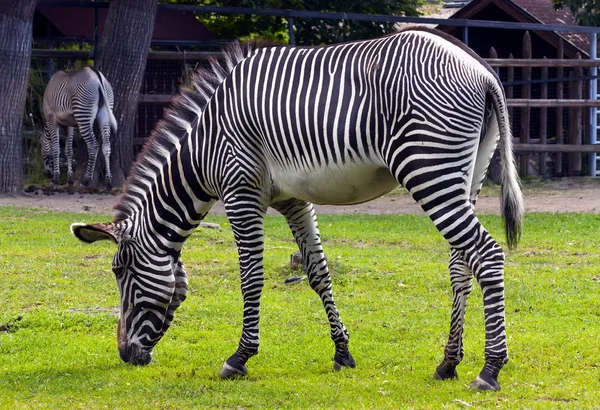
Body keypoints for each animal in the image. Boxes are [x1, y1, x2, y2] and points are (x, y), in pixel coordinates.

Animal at [70, 25, 524, 390]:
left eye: (120, 272)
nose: (126, 355)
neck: (203, 148)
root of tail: (482, 71)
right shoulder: (294, 199)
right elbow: (318, 273)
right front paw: (342, 352)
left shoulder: (240, 192)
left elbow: (250, 278)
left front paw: (239, 358)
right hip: (468, 170)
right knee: (460, 264)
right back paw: (448, 363)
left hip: (427, 167)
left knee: (486, 254)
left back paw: (490, 370)